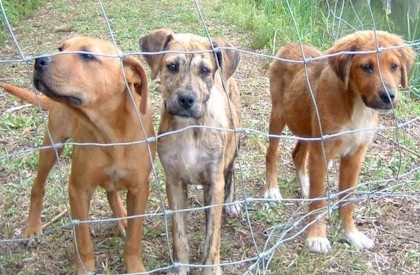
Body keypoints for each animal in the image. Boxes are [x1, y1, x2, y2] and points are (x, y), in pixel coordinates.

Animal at [0, 36, 155, 274]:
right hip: (52, 145)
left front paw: (134, 266)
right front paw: (85, 268)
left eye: (87, 55)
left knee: (111, 192)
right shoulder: (78, 189)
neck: (111, 133)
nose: (39, 61)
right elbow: (83, 241)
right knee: (38, 187)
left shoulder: (139, 189)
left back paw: (121, 217)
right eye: (60, 49)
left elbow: (134, 238)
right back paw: (32, 227)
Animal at [140, 29, 241, 274]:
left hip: (235, 141)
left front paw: (211, 268)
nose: (186, 99)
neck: (189, 128)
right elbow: (179, 235)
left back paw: (231, 202)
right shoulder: (174, 182)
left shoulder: (215, 182)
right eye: (172, 66)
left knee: (231, 171)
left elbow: (212, 239)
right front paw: (180, 267)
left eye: (204, 71)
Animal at [264, 30, 416, 254]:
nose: (389, 96)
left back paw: (305, 186)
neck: (356, 105)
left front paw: (351, 234)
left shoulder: (355, 155)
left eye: (394, 66)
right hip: (279, 115)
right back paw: (273, 190)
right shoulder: (321, 151)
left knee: (297, 155)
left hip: (307, 128)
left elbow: (347, 199)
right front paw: (317, 236)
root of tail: (290, 45)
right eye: (367, 66)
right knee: (271, 154)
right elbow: (319, 197)